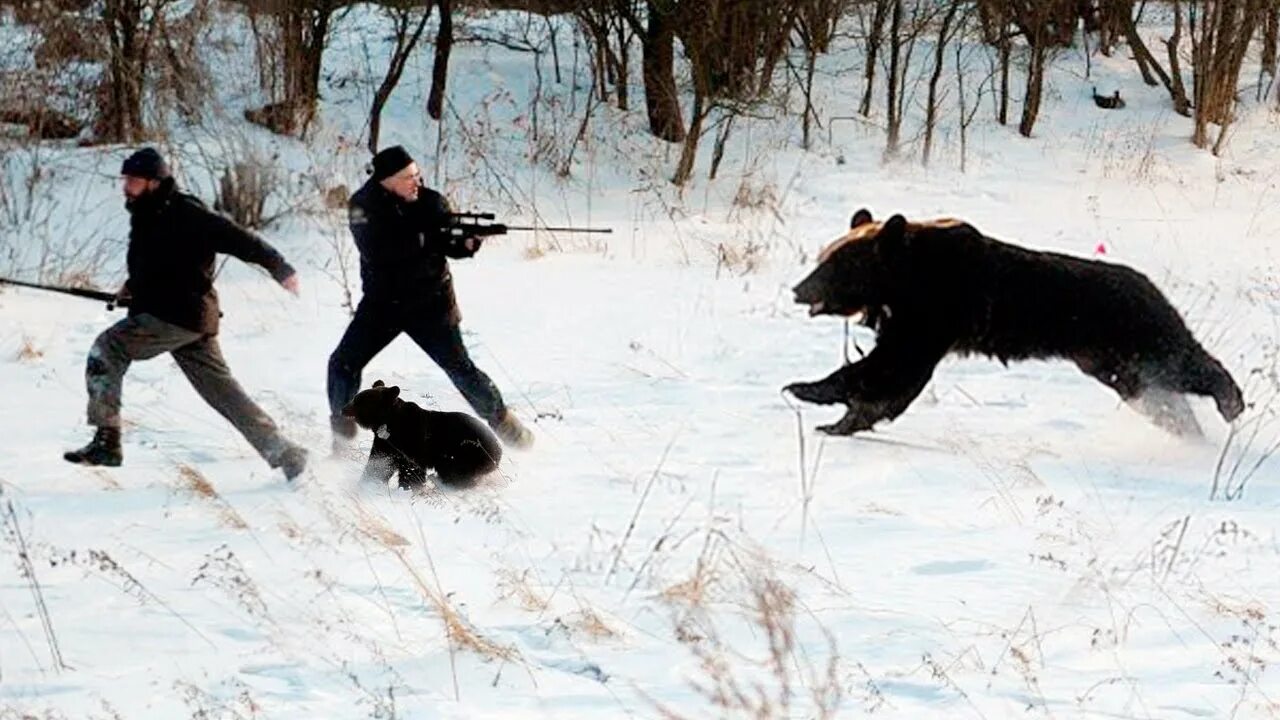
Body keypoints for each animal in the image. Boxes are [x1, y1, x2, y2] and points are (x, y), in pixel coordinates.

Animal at [343, 379, 501, 484]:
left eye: (359, 401)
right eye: (356, 398)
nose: (343, 409)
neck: (389, 423)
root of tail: (498, 448)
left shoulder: (413, 441)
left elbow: (412, 469)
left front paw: (409, 486)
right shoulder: (385, 443)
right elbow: (379, 462)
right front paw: (368, 482)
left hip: (465, 453)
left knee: (455, 472)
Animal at [783, 207, 1244, 438]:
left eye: (836, 266)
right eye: (824, 257)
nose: (798, 289)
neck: (904, 284)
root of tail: (1150, 285)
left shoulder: (933, 315)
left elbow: (889, 369)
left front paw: (807, 390)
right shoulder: (913, 320)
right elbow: (891, 378)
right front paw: (839, 419)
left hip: (1136, 337)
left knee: (1186, 362)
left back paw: (1231, 403)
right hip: (1110, 363)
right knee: (1157, 393)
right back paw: (1187, 429)